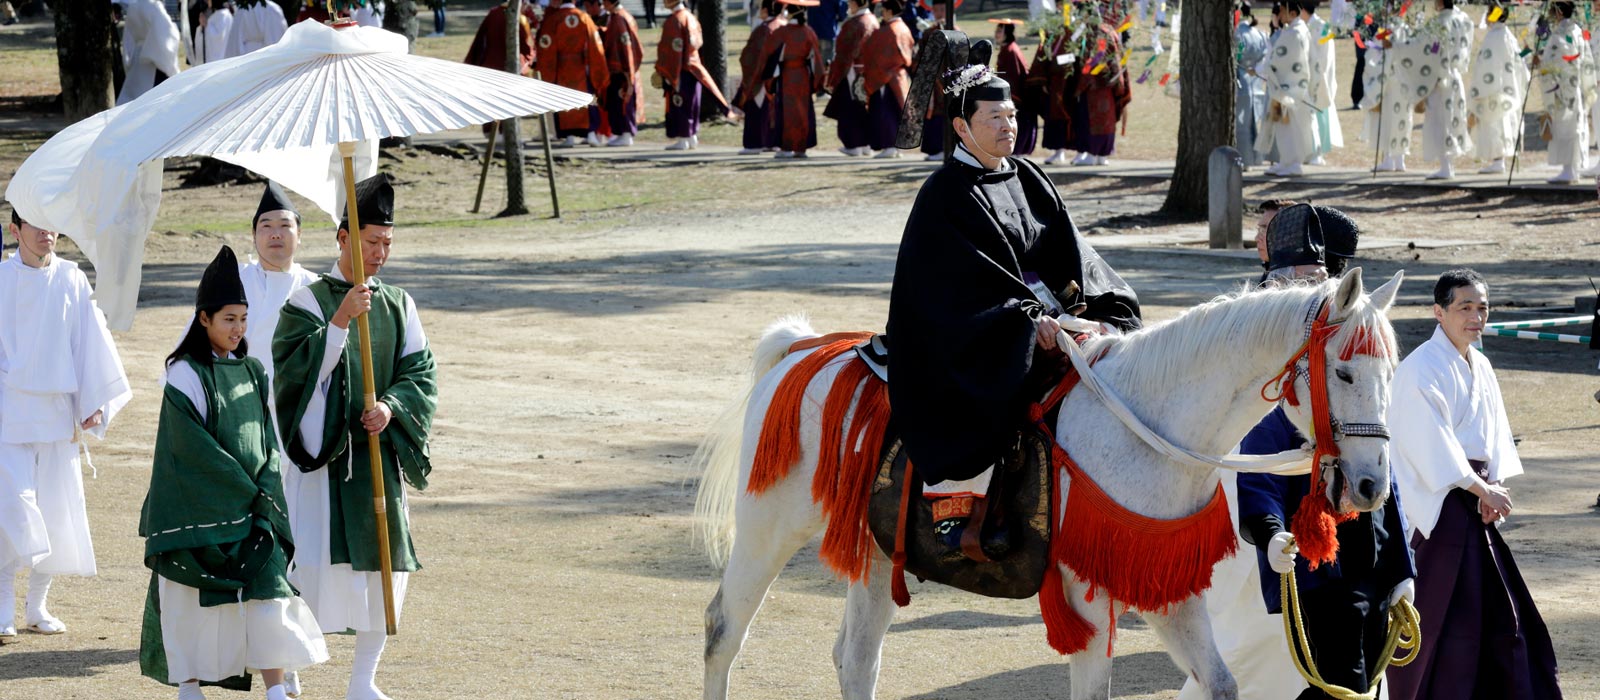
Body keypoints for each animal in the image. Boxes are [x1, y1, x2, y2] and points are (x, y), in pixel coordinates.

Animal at [694, 270, 1408, 700]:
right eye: (1345, 373)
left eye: (1391, 372)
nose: (1372, 486)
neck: (1147, 426)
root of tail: (800, 349)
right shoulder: (1087, 595)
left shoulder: (1168, 590)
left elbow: (1221, 683)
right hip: (767, 526)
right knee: (724, 628)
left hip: (874, 553)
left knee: (856, 658)